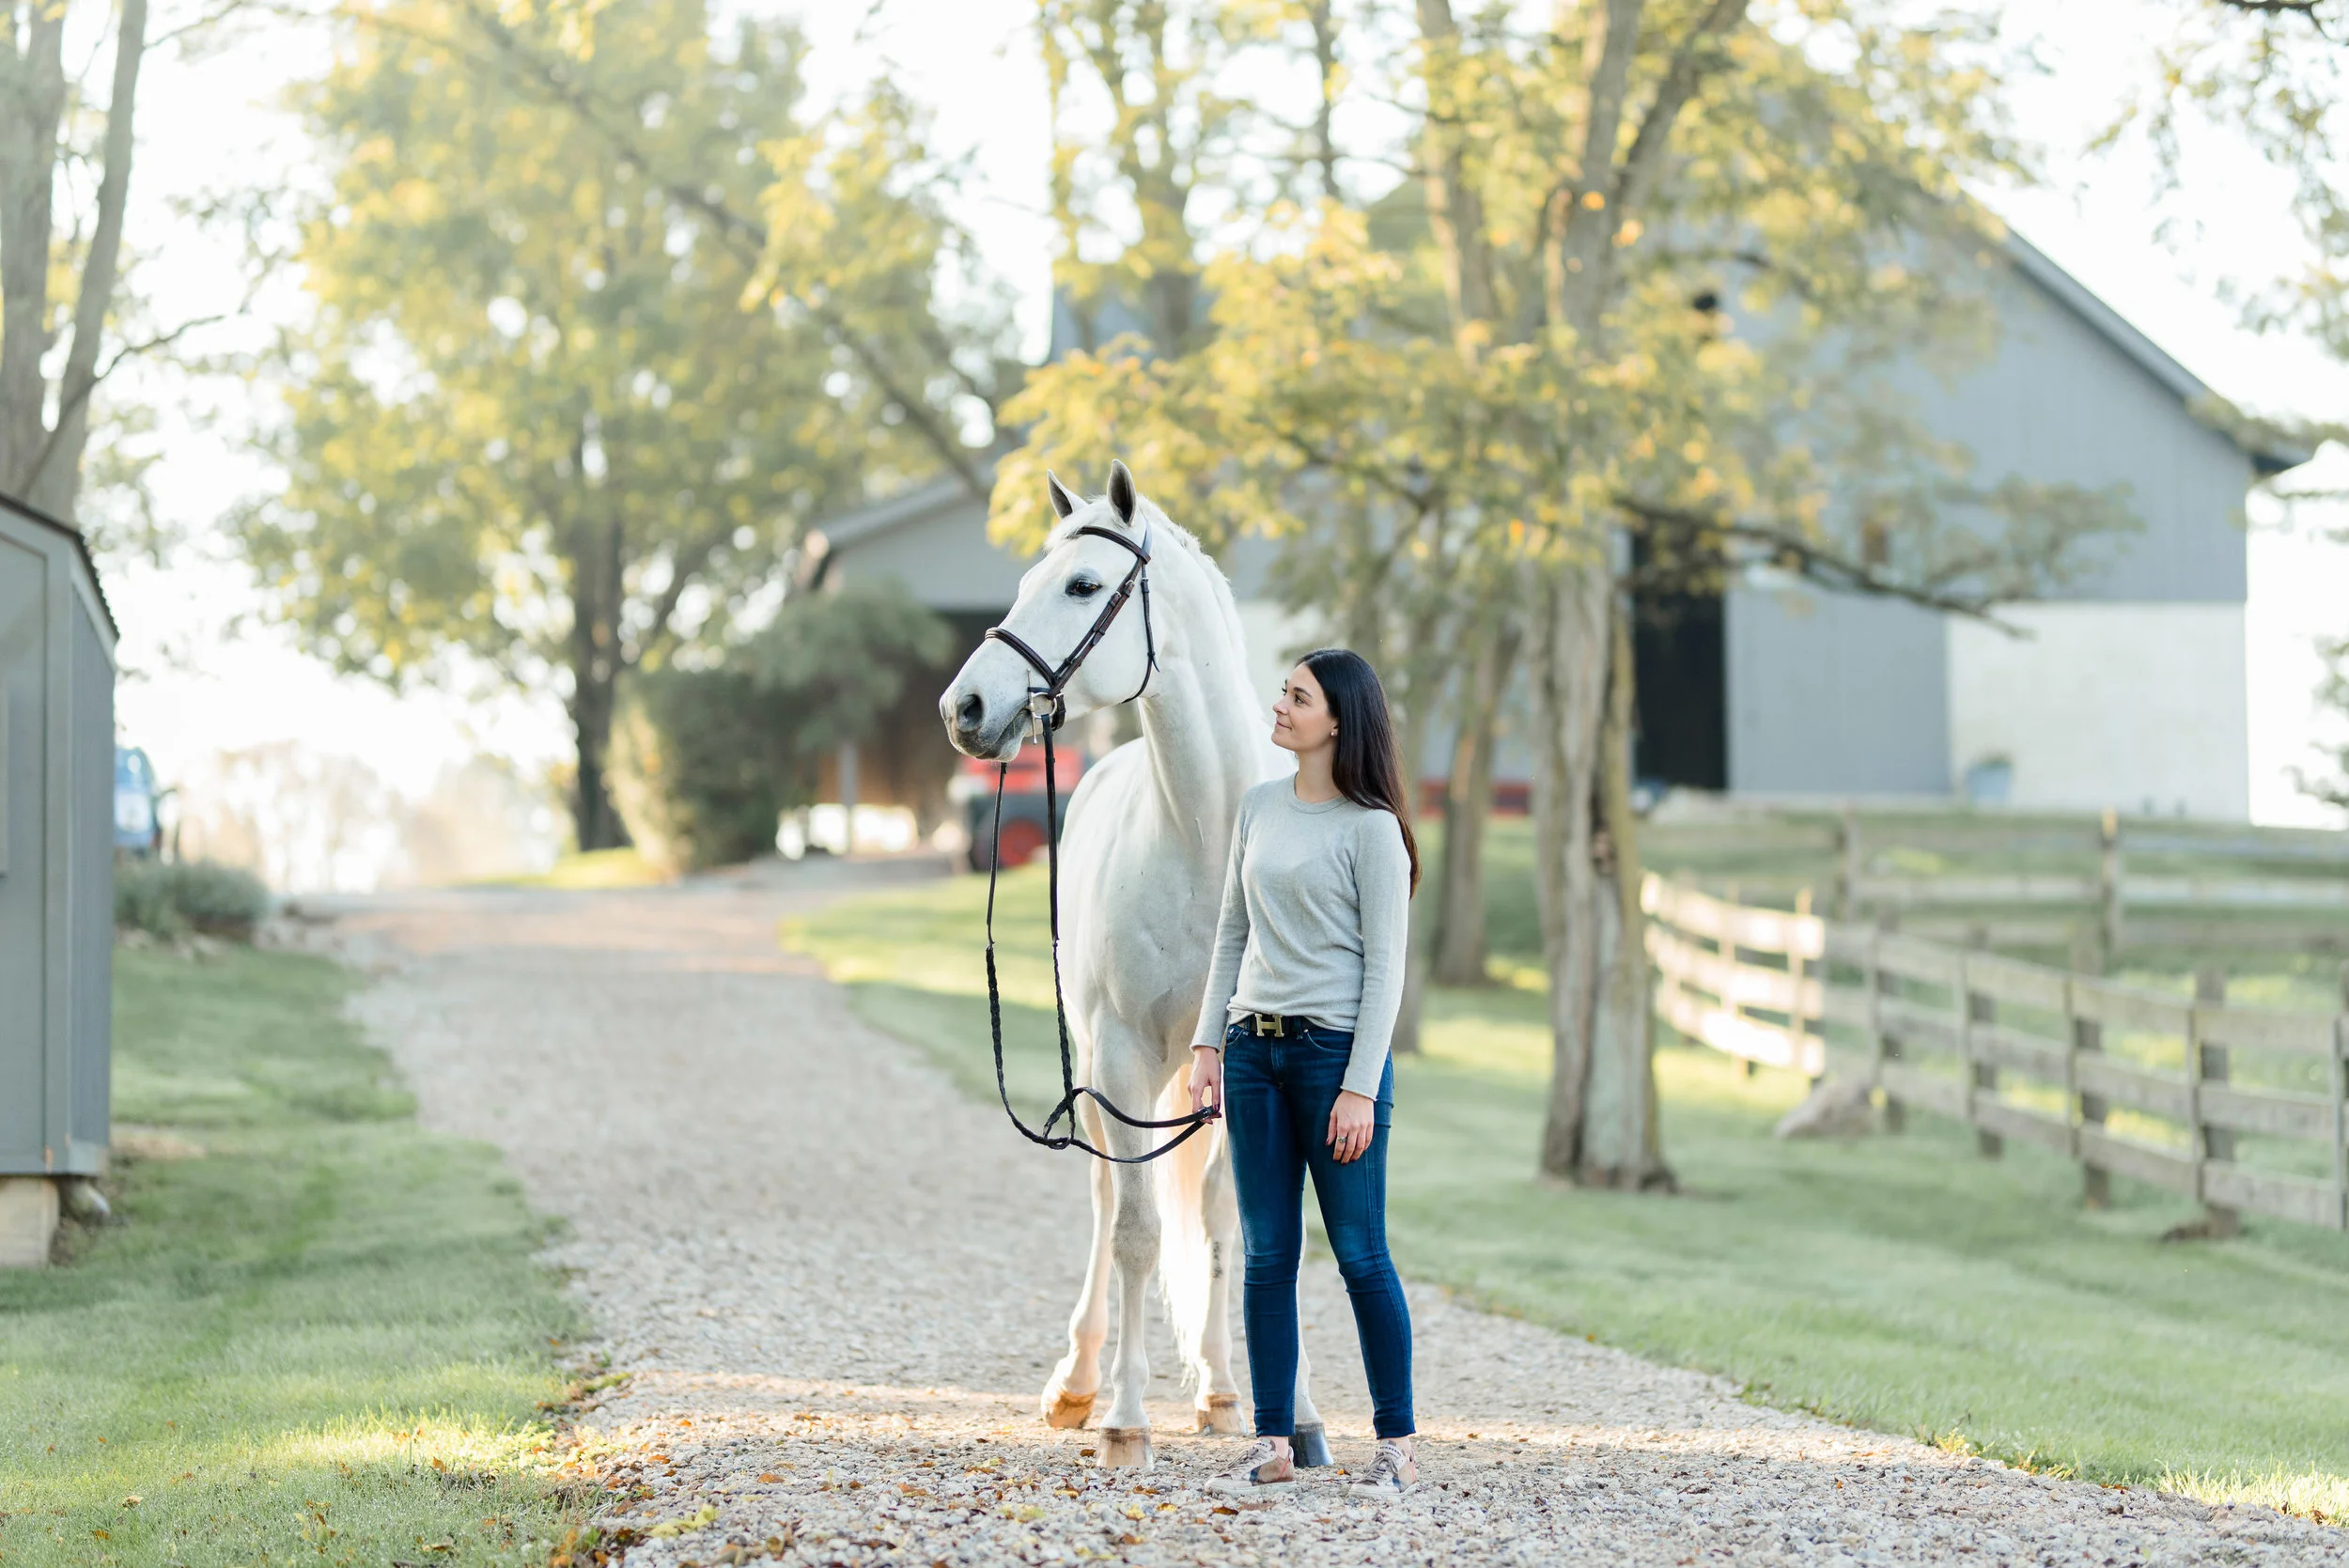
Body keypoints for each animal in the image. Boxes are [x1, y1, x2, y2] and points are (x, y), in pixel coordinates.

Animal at [939, 461, 1327, 1470]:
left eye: (1081, 586)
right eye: (1026, 579)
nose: (964, 709)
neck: (1207, 845)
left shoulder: (1241, 1070)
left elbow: (1238, 1229)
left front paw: (1260, 1399)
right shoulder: (1117, 1060)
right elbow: (1140, 1232)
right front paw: (1122, 1418)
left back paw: (1218, 1388)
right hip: (1103, 1071)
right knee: (1110, 1198)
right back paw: (1078, 1380)